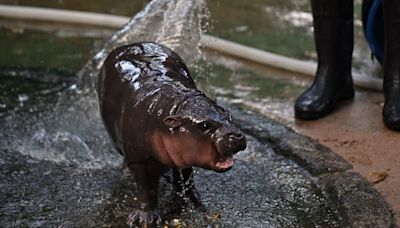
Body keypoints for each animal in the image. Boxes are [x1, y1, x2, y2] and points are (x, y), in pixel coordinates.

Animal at [98, 42, 245, 226]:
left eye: (228, 114)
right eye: (205, 125)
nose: (237, 135)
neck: (174, 106)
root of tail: (130, 44)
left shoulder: (185, 153)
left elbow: (186, 176)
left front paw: (192, 201)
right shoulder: (140, 160)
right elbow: (147, 189)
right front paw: (145, 220)